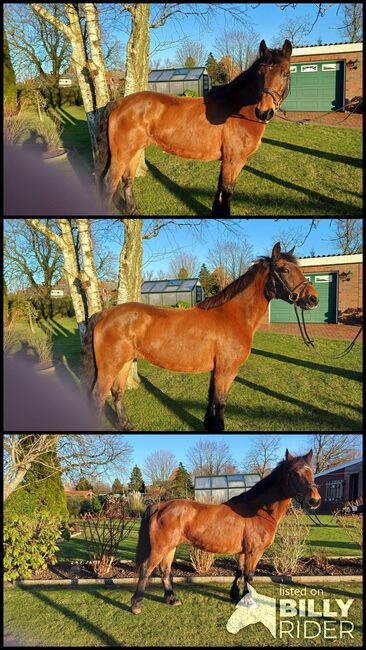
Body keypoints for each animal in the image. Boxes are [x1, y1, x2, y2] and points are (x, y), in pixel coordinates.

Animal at [80, 242, 318, 430]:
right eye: (284, 269)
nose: (313, 299)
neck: (233, 315)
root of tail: (105, 314)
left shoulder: (217, 370)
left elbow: (212, 401)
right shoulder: (226, 370)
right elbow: (220, 403)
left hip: (125, 362)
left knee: (117, 393)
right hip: (110, 366)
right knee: (99, 397)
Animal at [96, 38, 294, 215]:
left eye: (285, 73)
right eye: (260, 74)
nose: (264, 111)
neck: (237, 109)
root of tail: (119, 102)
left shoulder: (230, 161)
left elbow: (220, 190)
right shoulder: (234, 160)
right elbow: (227, 191)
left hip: (135, 150)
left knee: (127, 180)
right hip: (122, 154)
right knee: (109, 183)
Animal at [130, 448, 318, 612]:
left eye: (312, 472)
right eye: (295, 473)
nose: (314, 500)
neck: (259, 511)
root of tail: (159, 506)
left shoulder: (244, 551)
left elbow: (239, 572)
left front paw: (236, 596)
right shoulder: (254, 552)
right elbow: (249, 575)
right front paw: (249, 601)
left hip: (171, 547)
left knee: (165, 571)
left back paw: (171, 599)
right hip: (160, 547)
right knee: (146, 569)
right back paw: (136, 604)